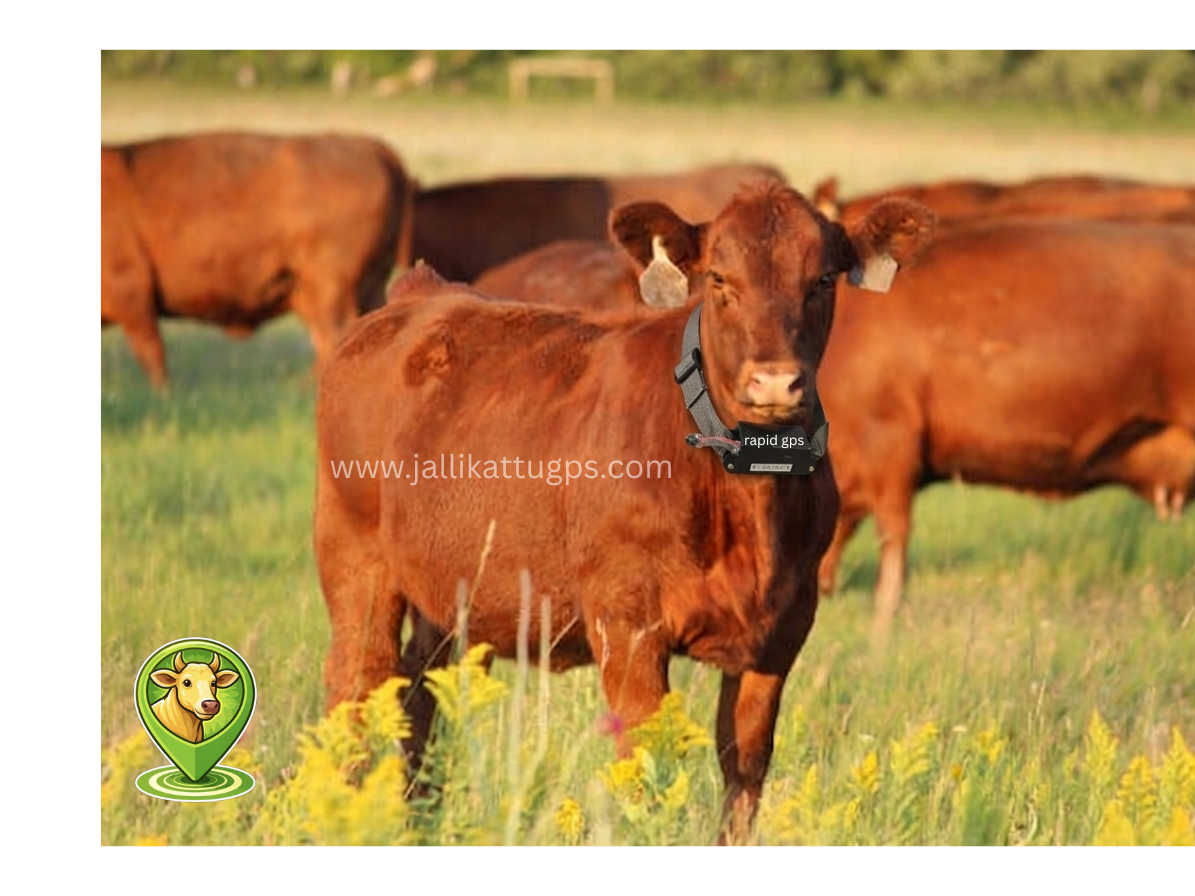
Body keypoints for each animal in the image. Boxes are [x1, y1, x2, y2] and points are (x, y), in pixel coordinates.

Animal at [315, 182, 936, 841]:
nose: (773, 383)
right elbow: (645, 763)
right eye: (719, 279)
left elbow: (744, 764)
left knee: (420, 687)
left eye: (821, 280)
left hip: (448, 586)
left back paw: (421, 820)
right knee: (357, 682)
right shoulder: (628, 624)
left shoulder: (783, 629)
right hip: (355, 562)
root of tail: (422, 296)